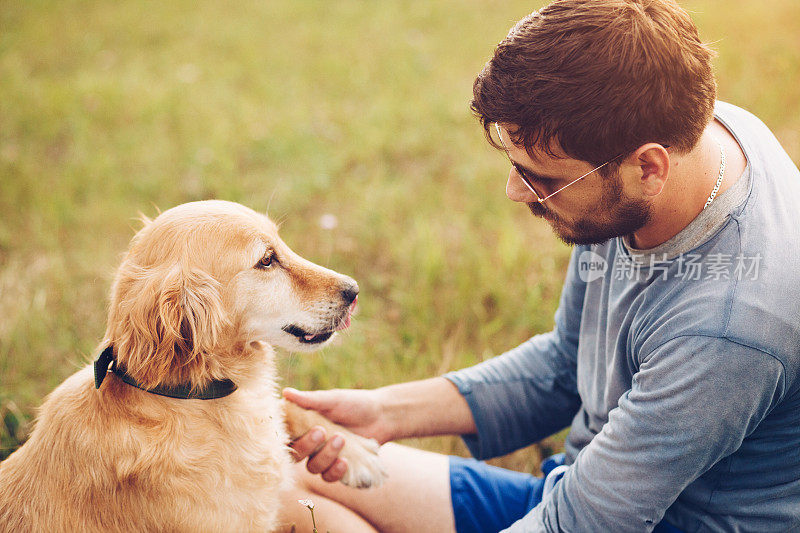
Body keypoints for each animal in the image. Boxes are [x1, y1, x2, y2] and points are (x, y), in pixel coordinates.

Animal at [0, 201, 384, 532]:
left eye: (280, 245)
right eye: (266, 260)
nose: (354, 291)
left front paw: (352, 447)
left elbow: (286, 405)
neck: (190, 396)